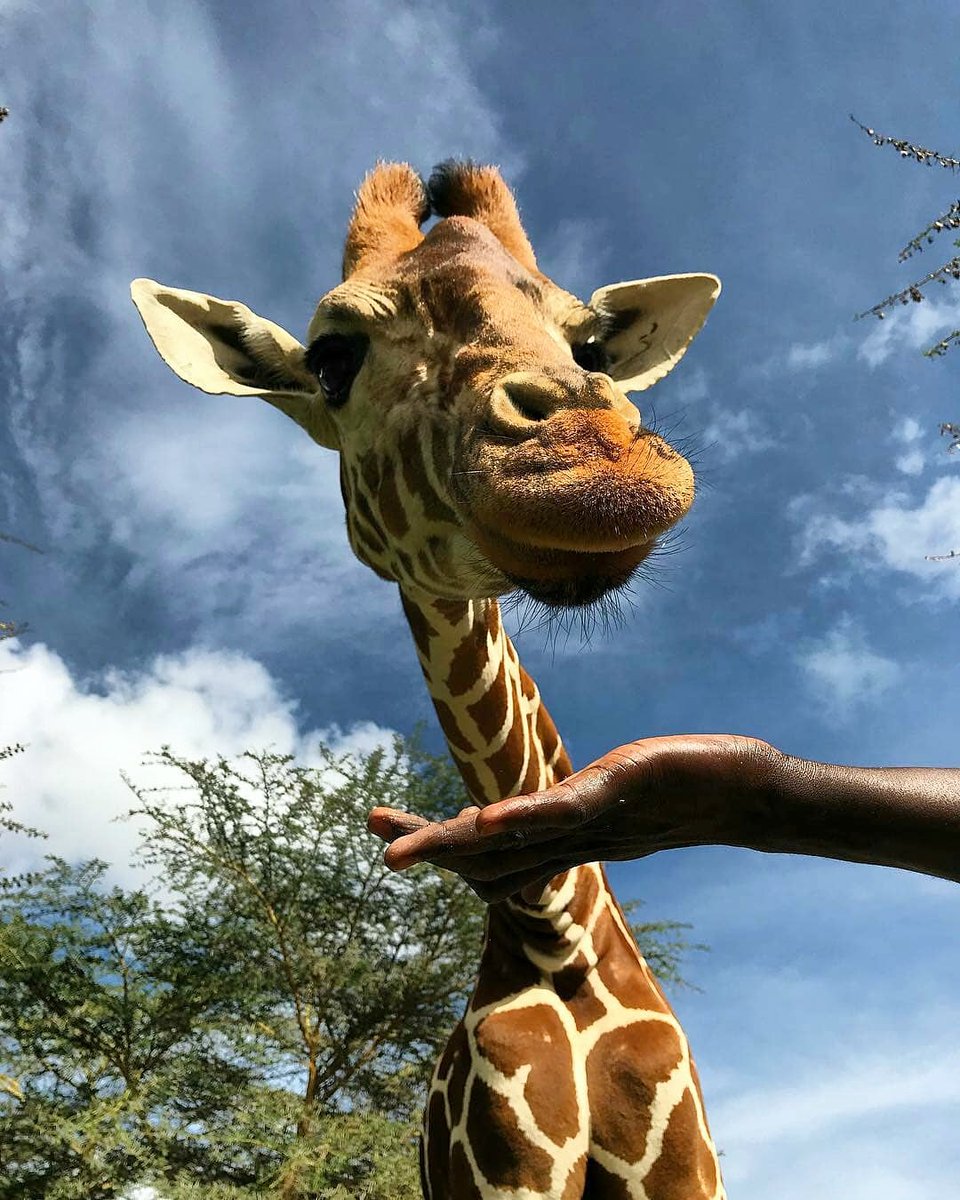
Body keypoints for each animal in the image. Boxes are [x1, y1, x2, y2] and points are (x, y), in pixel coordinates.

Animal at [131, 162, 724, 1200]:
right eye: (333, 357)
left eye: (589, 344)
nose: (594, 466)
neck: (554, 924)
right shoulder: (505, 1168)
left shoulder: (684, 1167)